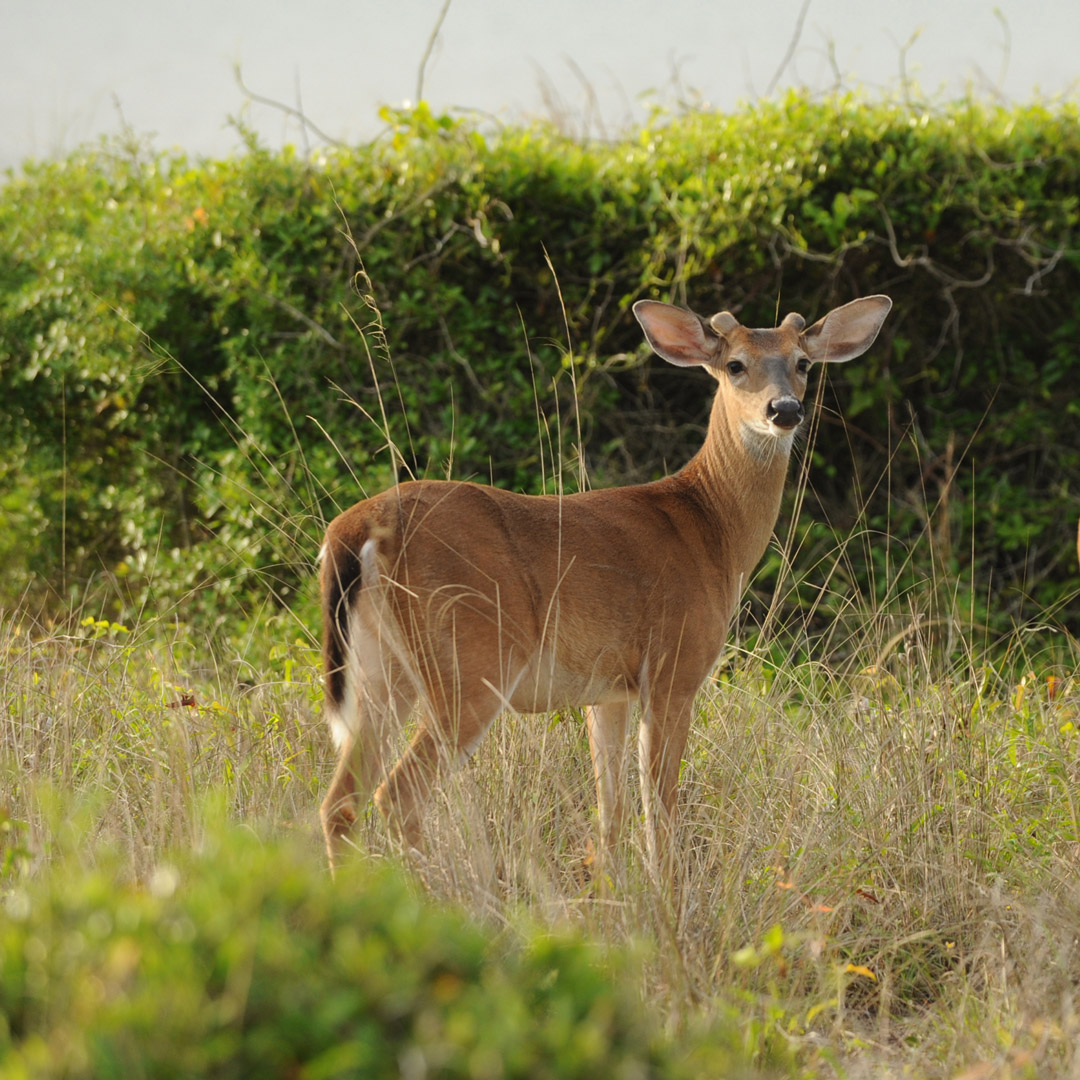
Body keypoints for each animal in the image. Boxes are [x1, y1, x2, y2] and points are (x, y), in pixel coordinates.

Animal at [317, 291, 894, 881]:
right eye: (735, 365)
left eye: (803, 364)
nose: (785, 410)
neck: (712, 529)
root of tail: (354, 530)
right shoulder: (673, 668)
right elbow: (658, 811)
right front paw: (666, 892)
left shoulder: (607, 691)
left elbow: (609, 813)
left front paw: (611, 891)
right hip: (473, 658)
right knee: (396, 795)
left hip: (382, 670)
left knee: (340, 802)